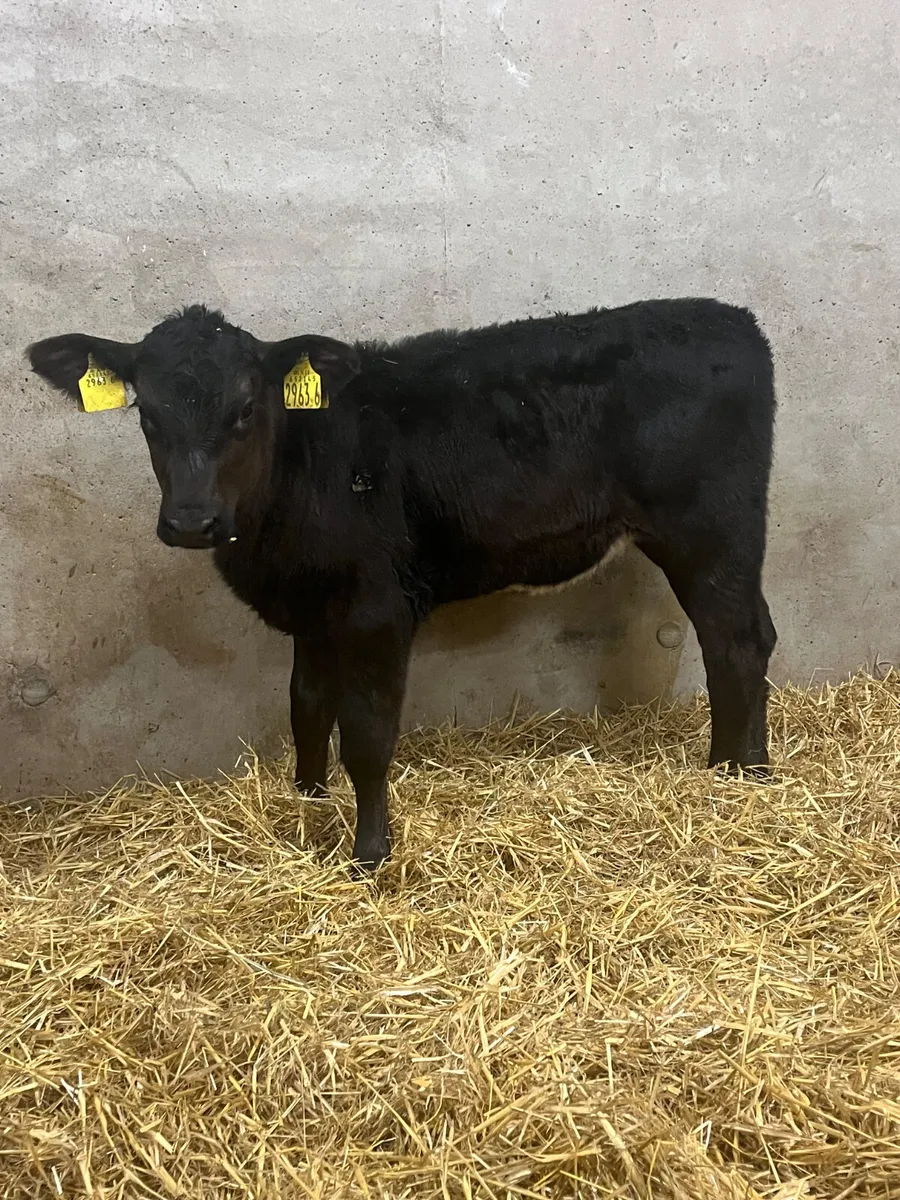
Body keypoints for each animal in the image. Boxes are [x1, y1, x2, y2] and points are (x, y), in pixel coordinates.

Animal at [28, 298, 777, 870]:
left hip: (709, 530)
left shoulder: (376, 611)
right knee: (754, 636)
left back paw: (731, 772)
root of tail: (730, 318)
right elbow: (306, 709)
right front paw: (308, 801)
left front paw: (369, 854)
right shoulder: (312, 609)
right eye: (147, 415)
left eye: (244, 409)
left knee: (734, 643)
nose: (190, 521)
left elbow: (365, 733)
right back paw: (753, 767)